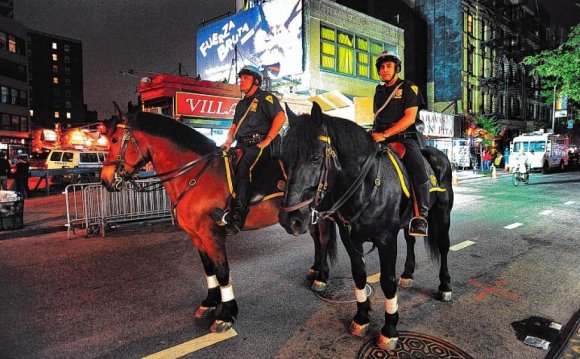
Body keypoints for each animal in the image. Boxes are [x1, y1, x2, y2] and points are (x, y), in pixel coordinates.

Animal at [101, 105, 336, 334]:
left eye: (115, 139)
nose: (105, 180)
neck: (194, 174)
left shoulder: (212, 233)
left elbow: (222, 271)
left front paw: (227, 314)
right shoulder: (196, 235)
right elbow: (208, 268)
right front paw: (210, 302)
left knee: (323, 240)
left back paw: (322, 277)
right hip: (305, 217)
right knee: (316, 238)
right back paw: (315, 270)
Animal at [278, 103, 456, 352]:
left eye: (315, 157)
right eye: (283, 157)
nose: (290, 219)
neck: (366, 184)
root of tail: (437, 153)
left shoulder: (386, 239)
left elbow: (387, 281)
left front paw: (389, 329)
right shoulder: (349, 237)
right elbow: (359, 275)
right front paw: (361, 318)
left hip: (443, 213)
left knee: (443, 247)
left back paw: (445, 286)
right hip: (409, 221)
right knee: (411, 240)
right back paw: (408, 274)